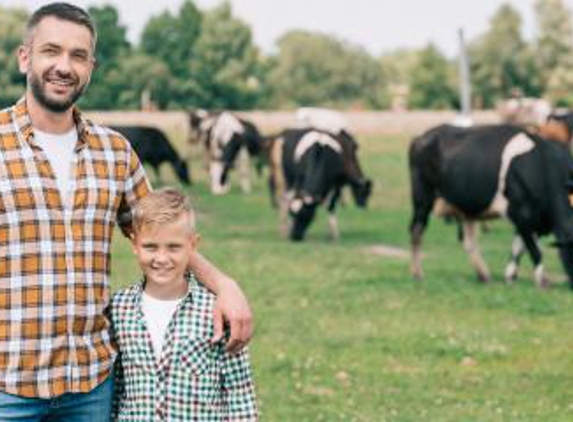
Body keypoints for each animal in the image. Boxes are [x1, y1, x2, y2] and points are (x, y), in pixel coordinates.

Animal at [408, 122, 572, 288]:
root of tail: (422, 137)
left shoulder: (535, 218)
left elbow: (519, 247)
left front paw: (511, 276)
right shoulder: (520, 212)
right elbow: (533, 249)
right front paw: (542, 281)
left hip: (467, 207)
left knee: (468, 242)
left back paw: (483, 275)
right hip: (422, 197)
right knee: (417, 230)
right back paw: (417, 273)